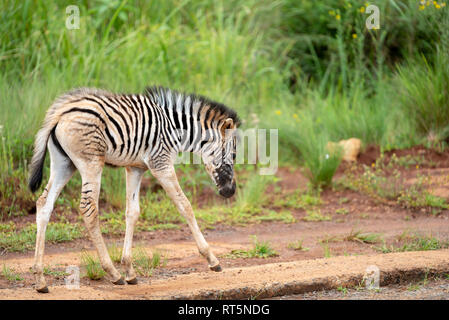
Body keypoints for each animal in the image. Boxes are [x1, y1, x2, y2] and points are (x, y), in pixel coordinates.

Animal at [28, 87, 238, 292]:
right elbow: (184, 205)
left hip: (63, 163)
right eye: (234, 155)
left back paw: (40, 280)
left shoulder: (135, 167)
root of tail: (61, 112)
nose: (231, 192)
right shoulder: (160, 163)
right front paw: (212, 259)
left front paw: (129, 270)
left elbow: (132, 212)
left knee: (44, 204)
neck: (175, 128)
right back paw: (113, 273)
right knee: (88, 208)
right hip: (91, 162)